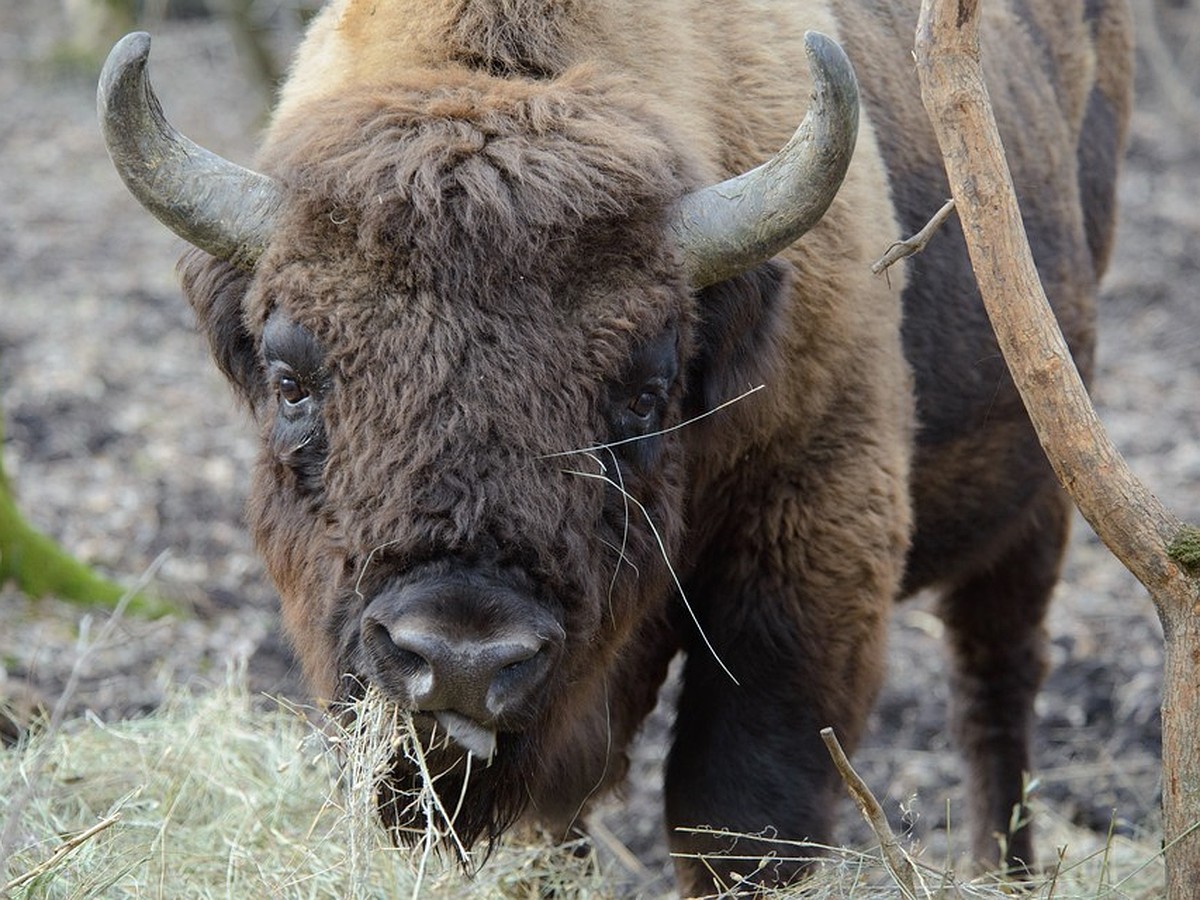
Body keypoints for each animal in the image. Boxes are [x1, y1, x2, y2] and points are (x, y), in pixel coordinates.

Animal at [98, 0, 1128, 892]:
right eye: (290, 380)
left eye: (644, 390)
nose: (462, 658)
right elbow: (553, 827)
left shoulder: (811, 539)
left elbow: (739, 812)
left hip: (1042, 481)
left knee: (995, 684)